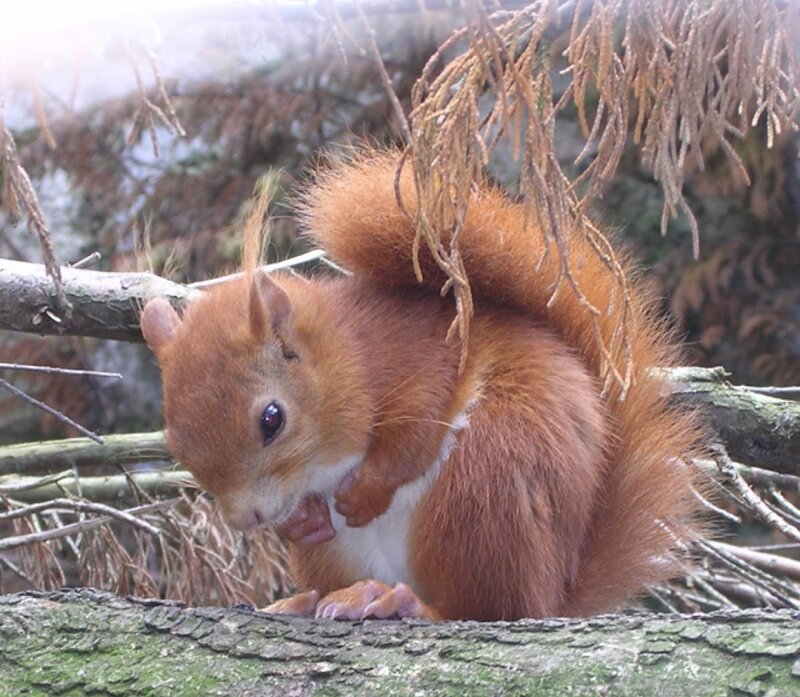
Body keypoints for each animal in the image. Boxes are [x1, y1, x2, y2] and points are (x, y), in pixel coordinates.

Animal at [140, 149, 703, 622]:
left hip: (488, 481)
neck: (345, 356)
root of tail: (555, 595)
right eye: (175, 442)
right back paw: (314, 599)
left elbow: (412, 434)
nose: (247, 518)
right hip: (337, 555)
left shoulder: (420, 359)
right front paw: (299, 520)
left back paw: (405, 603)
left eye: (271, 419)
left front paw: (364, 492)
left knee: (487, 609)